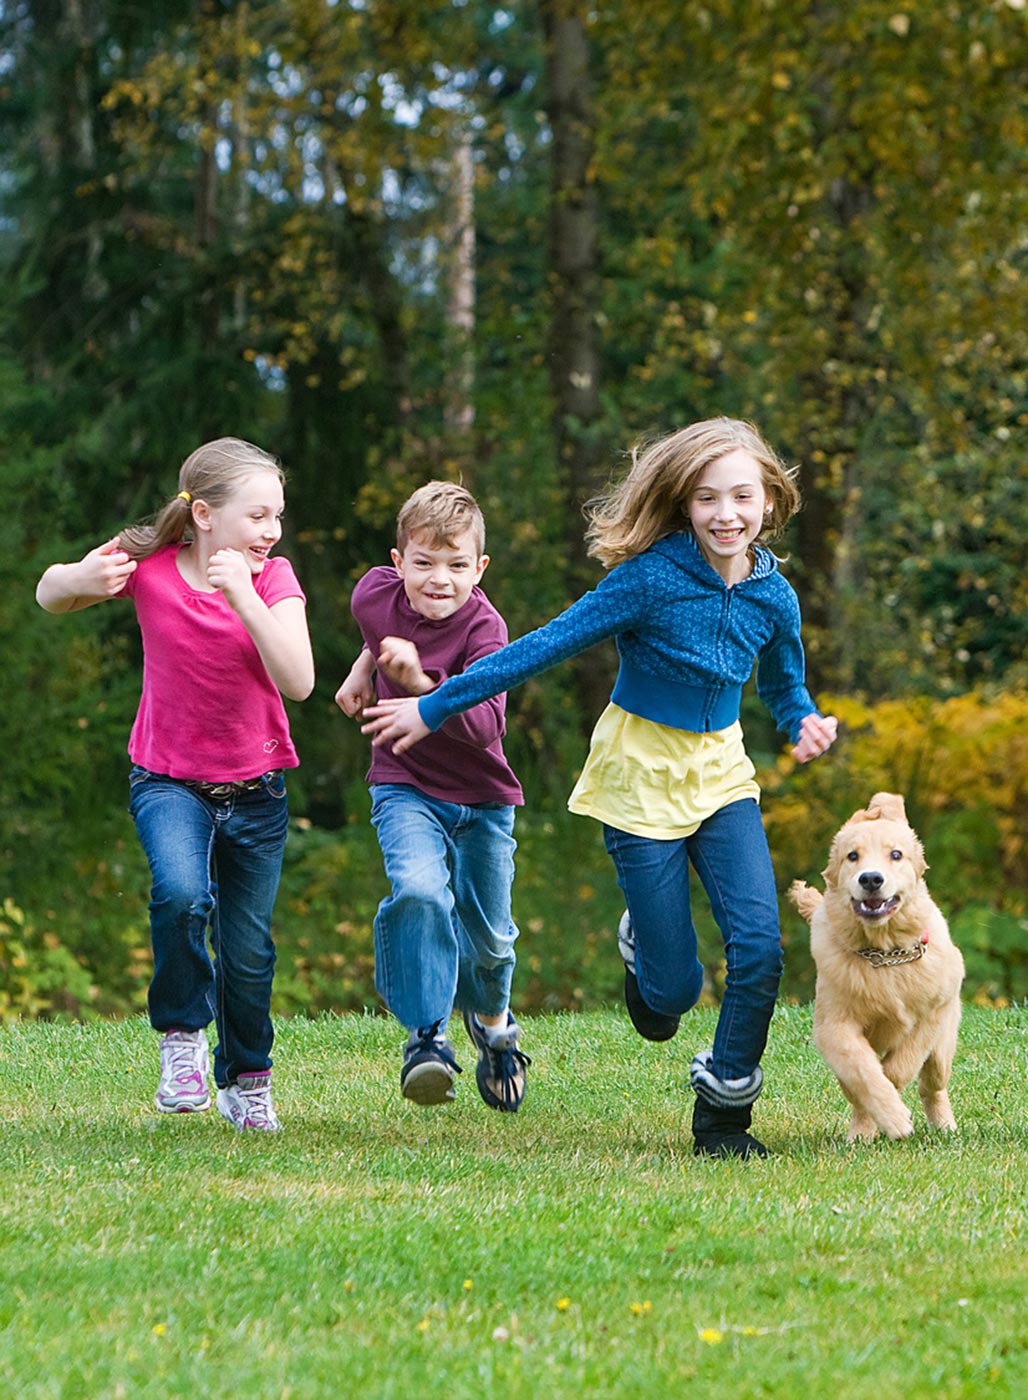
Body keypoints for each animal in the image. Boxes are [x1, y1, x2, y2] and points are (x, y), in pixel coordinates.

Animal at [789, 795, 963, 1142]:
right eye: (852, 856)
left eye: (896, 854)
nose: (870, 879)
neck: (885, 953)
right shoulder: (834, 1026)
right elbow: (863, 1072)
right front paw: (892, 1117)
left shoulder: (933, 1013)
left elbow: (900, 1066)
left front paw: (896, 1112)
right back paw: (861, 1134)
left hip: (943, 1047)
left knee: (932, 1085)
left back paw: (945, 1127)